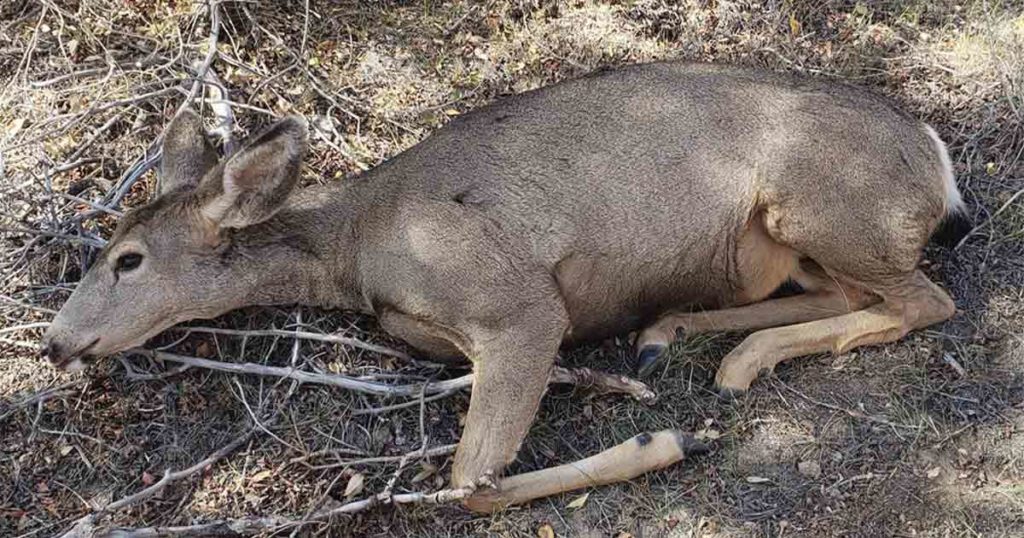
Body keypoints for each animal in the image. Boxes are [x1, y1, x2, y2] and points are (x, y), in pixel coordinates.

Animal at [40, 61, 963, 511]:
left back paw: (727, 364)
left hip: (822, 203)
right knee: (860, 296)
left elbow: (465, 490)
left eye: (128, 260)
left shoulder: (518, 308)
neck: (358, 246)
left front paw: (664, 441)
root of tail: (934, 153)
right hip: (793, 240)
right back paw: (675, 335)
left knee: (926, 300)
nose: (54, 342)